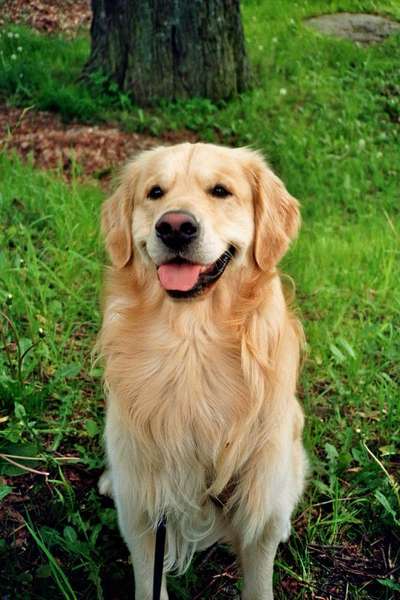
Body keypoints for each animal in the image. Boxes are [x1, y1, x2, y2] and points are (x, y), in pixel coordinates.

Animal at [99, 143, 306, 596]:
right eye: (155, 192)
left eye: (221, 191)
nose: (175, 227)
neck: (190, 346)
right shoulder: (145, 508)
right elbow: (149, 580)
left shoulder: (257, 507)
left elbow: (259, 581)